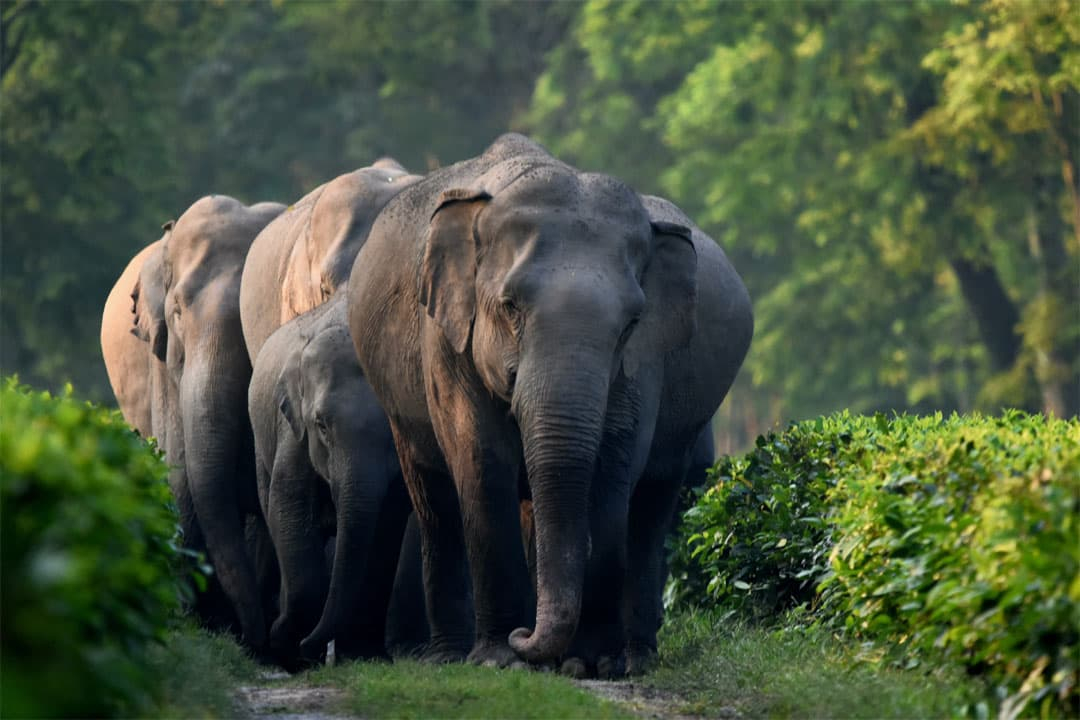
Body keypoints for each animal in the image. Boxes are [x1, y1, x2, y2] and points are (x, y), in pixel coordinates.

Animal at [248, 293, 412, 669]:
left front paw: (365, 655)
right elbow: (289, 507)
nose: (309, 646)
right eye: (321, 425)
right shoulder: (292, 428)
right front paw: (288, 646)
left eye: (392, 428)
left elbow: (385, 529)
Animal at [346, 134, 752, 675]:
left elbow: (613, 469)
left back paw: (635, 660)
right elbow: (482, 462)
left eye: (631, 322)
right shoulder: (447, 340)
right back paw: (450, 655)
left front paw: (587, 663)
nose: (524, 637)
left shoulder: (646, 360)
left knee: (650, 509)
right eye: (510, 307)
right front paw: (502, 661)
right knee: (435, 500)